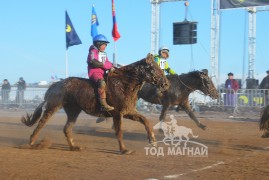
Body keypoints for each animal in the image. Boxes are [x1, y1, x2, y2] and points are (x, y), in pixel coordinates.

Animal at [21, 53, 168, 153]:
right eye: (152, 68)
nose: (166, 84)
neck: (123, 84)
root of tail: (55, 85)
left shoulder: (128, 112)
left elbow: (145, 120)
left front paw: (153, 140)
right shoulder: (117, 114)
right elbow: (119, 131)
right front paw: (124, 150)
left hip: (73, 111)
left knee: (67, 129)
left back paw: (74, 147)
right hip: (52, 107)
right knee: (41, 123)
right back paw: (32, 142)